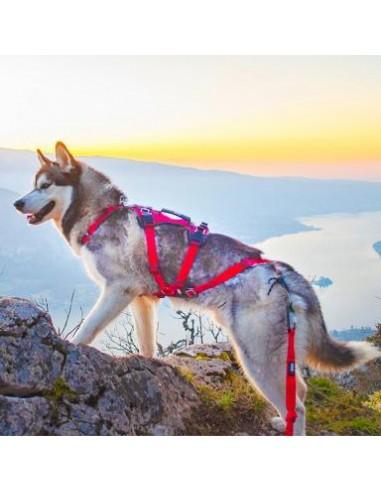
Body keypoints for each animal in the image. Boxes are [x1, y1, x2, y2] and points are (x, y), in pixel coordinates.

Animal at [14, 141, 380, 434]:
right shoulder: (142, 299)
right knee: (299, 392)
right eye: (33, 186)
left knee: (298, 405)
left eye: (44, 186)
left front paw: (69, 347)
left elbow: (88, 329)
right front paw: (150, 365)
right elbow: (146, 343)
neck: (101, 214)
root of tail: (281, 272)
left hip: (256, 357)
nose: (17, 203)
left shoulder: (118, 290)